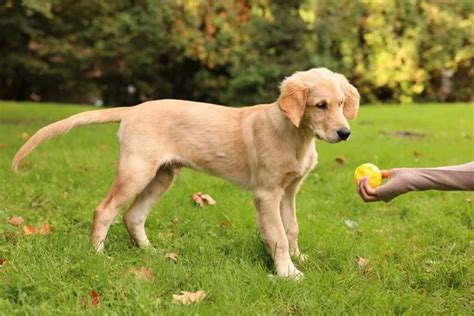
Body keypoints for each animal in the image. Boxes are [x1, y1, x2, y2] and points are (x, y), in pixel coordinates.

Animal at [12, 68, 360, 278]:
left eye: (342, 103)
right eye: (320, 105)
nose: (345, 134)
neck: (294, 135)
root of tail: (133, 108)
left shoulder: (289, 190)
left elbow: (292, 229)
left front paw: (299, 259)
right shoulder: (267, 193)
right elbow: (277, 235)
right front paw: (288, 273)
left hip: (163, 175)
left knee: (133, 215)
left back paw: (151, 253)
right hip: (137, 170)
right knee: (105, 210)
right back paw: (98, 255)